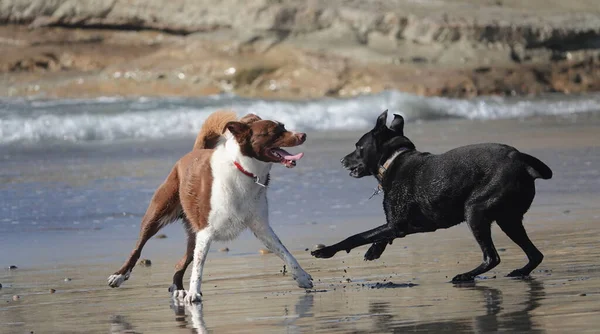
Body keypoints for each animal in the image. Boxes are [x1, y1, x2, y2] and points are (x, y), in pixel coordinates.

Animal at [107, 111, 314, 304]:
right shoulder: (206, 231)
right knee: (138, 247)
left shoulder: (261, 226)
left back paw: (178, 288)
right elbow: (198, 267)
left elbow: (285, 252)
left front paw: (302, 276)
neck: (244, 170)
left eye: (283, 126)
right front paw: (194, 293)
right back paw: (119, 275)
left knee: (180, 263)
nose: (303, 135)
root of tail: (193, 152)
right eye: (274, 131)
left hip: (193, 234)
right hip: (158, 214)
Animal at [314, 110, 552, 282]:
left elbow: (358, 236)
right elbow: (380, 234)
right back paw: (520, 271)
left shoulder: (397, 224)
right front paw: (375, 249)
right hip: (509, 219)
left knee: (492, 256)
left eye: (358, 146)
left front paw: (327, 251)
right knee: (535, 254)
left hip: (475, 211)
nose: (343, 160)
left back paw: (465, 276)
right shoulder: (406, 226)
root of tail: (522, 160)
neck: (393, 159)